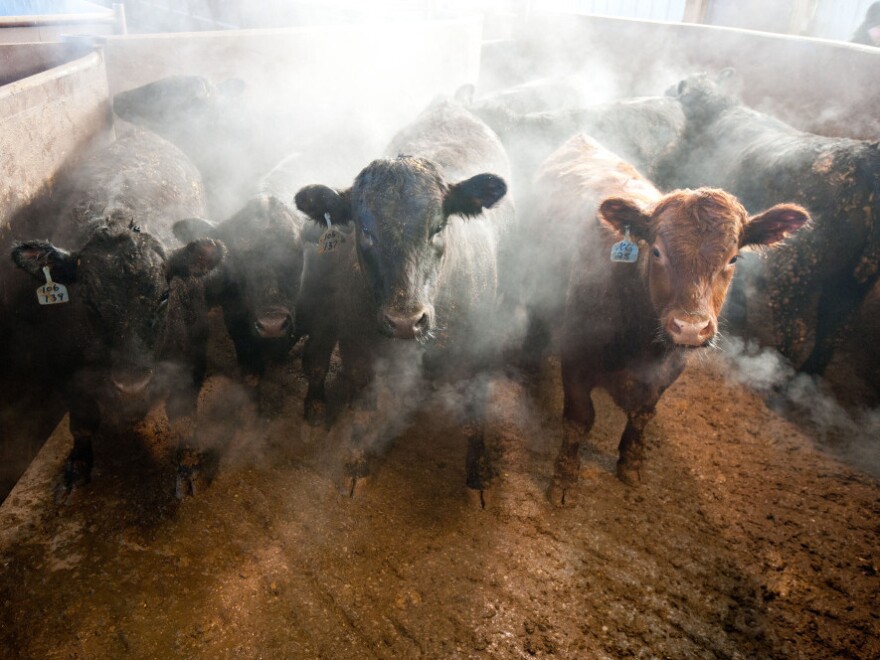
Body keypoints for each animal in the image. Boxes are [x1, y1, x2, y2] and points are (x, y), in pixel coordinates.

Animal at [9, 127, 223, 500]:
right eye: (88, 302)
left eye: (165, 295)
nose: (131, 380)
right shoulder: (67, 373)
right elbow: (81, 424)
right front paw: (76, 466)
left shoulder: (191, 364)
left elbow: (184, 421)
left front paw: (186, 470)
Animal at [294, 98, 512, 502]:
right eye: (365, 231)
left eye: (439, 227)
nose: (405, 320)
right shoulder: (358, 346)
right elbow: (364, 406)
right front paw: (357, 464)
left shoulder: (476, 349)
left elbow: (475, 415)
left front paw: (479, 472)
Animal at [532, 135, 808, 506]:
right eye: (657, 251)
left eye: (733, 258)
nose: (690, 328)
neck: (641, 344)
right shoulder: (575, 357)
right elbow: (579, 421)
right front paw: (563, 479)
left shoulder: (668, 371)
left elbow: (642, 416)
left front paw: (631, 464)